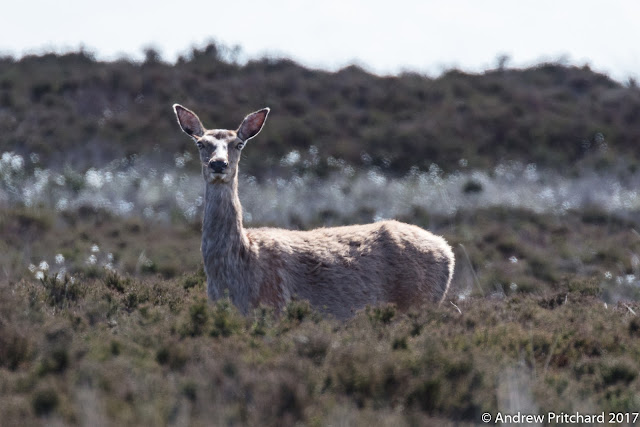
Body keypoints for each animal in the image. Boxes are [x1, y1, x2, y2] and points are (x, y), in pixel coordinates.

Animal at [175, 103, 456, 318]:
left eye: (239, 144)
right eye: (201, 143)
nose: (218, 164)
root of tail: (447, 251)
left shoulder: (273, 308)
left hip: (420, 301)